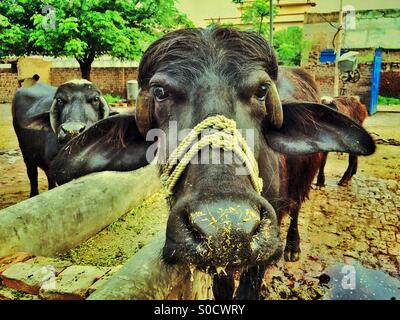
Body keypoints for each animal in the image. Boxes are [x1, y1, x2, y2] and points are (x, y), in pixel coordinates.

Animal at [49, 28, 376, 300]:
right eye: (160, 92)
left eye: (261, 91)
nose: (226, 230)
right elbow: (222, 287)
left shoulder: (261, 254)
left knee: (296, 207)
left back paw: (293, 247)